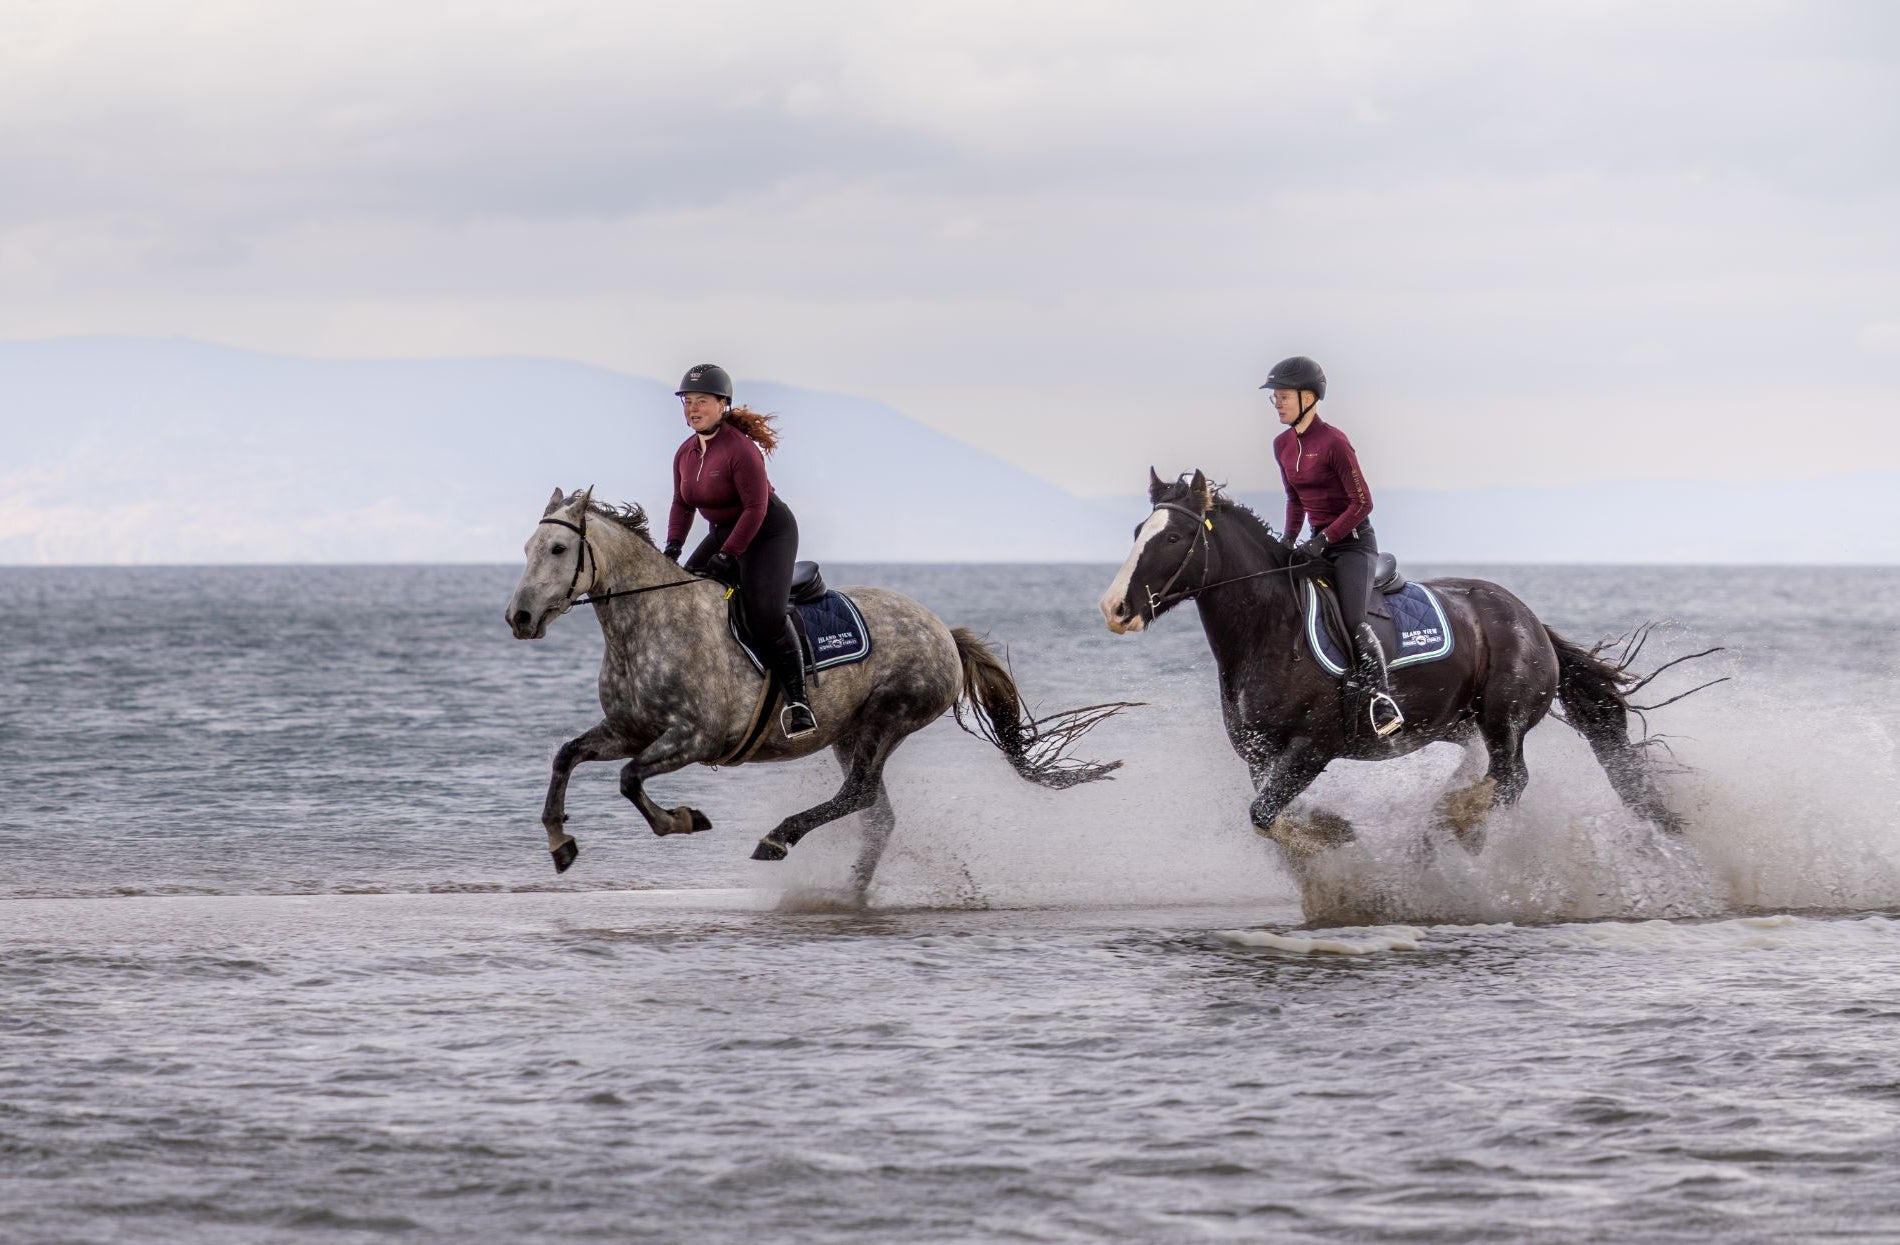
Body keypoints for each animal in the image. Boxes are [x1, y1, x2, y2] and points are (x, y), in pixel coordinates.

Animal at [506, 487, 1131, 897]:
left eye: (558, 550)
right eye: (526, 549)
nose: (520, 617)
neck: (650, 623)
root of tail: (942, 632)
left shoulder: (691, 738)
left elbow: (629, 779)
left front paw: (682, 820)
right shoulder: (628, 729)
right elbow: (567, 756)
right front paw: (560, 843)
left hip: (887, 718)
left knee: (858, 795)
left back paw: (778, 839)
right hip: (848, 734)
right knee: (876, 815)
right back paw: (850, 891)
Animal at [1098, 470, 1703, 872]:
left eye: (1172, 537)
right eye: (1137, 530)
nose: (1115, 608)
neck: (1270, 630)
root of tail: (1528, 617)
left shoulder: (1313, 746)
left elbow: (1265, 814)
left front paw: (1336, 837)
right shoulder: (1260, 754)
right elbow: (1269, 813)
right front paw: (1329, 838)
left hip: (1503, 717)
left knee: (1510, 777)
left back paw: (1451, 827)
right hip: (1455, 723)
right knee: (1487, 771)